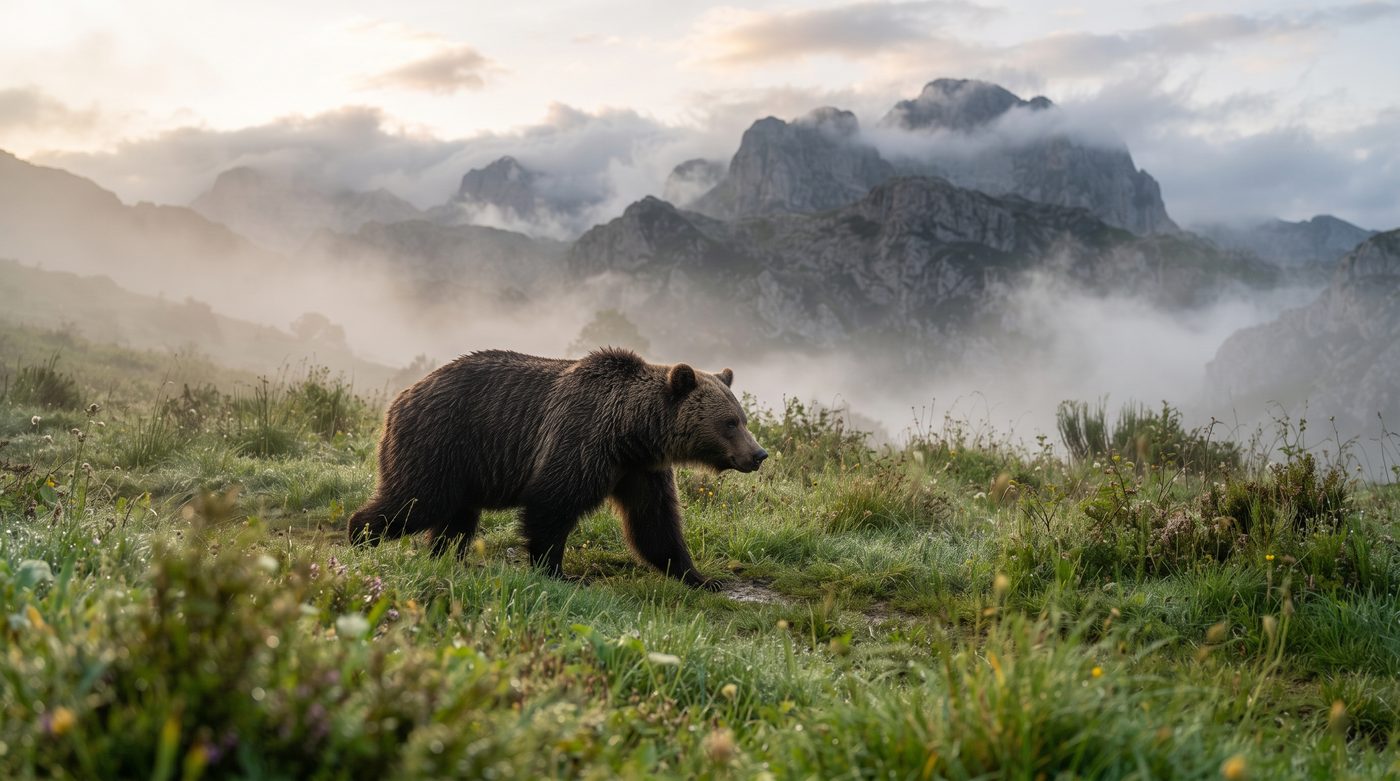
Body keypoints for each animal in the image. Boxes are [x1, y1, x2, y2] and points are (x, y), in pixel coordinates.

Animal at [347, 347, 767, 588]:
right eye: (730, 422)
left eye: (743, 419)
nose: (759, 454)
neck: (631, 432)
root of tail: (399, 399)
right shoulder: (582, 441)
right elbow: (551, 505)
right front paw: (557, 572)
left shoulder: (640, 471)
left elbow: (655, 524)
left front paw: (699, 577)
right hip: (440, 443)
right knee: (416, 501)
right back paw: (359, 536)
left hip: (463, 467)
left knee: (456, 520)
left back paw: (447, 557)